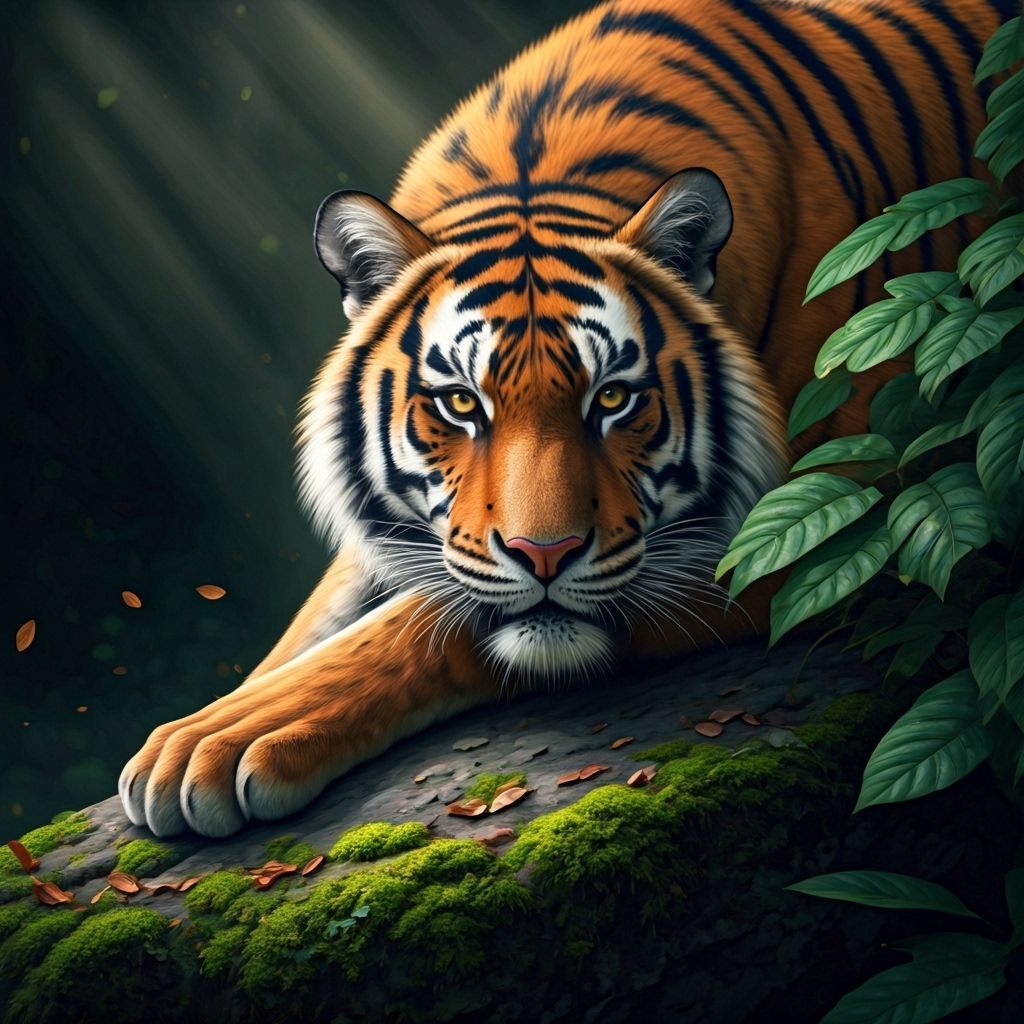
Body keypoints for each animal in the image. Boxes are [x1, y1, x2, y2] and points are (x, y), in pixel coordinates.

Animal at [119, 0, 1014, 837]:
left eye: (612, 398)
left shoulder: (833, 516)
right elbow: (331, 615)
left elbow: (429, 617)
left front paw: (220, 740)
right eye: (460, 403)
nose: (543, 555)